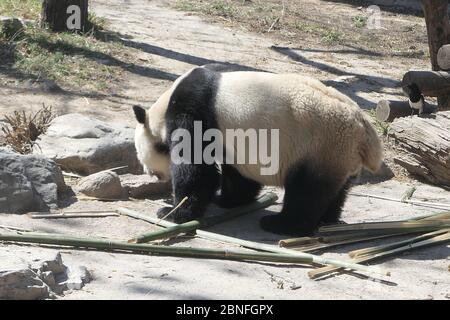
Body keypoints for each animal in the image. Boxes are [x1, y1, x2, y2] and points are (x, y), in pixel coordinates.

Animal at [134, 64, 384, 235]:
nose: (153, 175)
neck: (163, 108)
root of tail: (363, 128)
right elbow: (237, 174)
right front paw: (227, 200)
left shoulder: (193, 111)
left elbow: (196, 169)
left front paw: (172, 212)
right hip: (339, 155)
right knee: (336, 190)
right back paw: (327, 220)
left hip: (319, 145)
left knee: (306, 191)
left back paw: (282, 225)